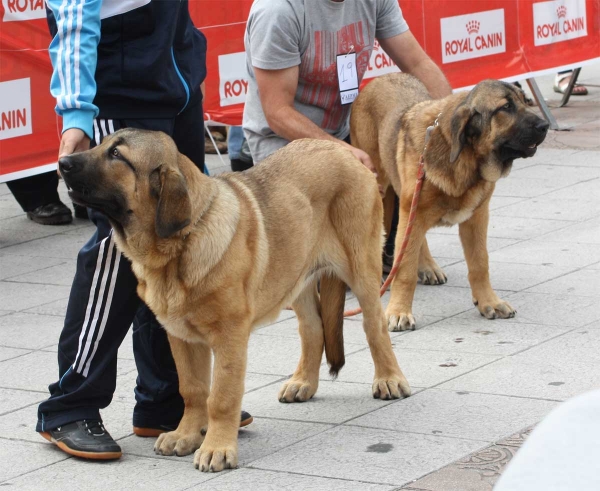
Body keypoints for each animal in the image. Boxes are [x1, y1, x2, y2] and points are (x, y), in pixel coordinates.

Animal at [58, 130, 410, 472]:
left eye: (117, 154)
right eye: (102, 143)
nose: (62, 161)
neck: (179, 247)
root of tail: (343, 149)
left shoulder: (229, 336)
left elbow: (222, 397)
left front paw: (216, 448)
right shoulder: (181, 337)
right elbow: (193, 390)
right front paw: (186, 435)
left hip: (360, 267)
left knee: (374, 325)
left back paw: (389, 379)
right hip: (296, 277)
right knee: (312, 329)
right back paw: (302, 383)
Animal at [350, 75, 552, 332]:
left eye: (525, 101)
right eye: (505, 107)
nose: (545, 125)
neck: (466, 158)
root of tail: (380, 78)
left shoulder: (476, 218)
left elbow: (480, 263)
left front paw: (489, 301)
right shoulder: (413, 210)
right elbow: (404, 270)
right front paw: (399, 311)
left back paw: (428, 266)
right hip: (380, 187)